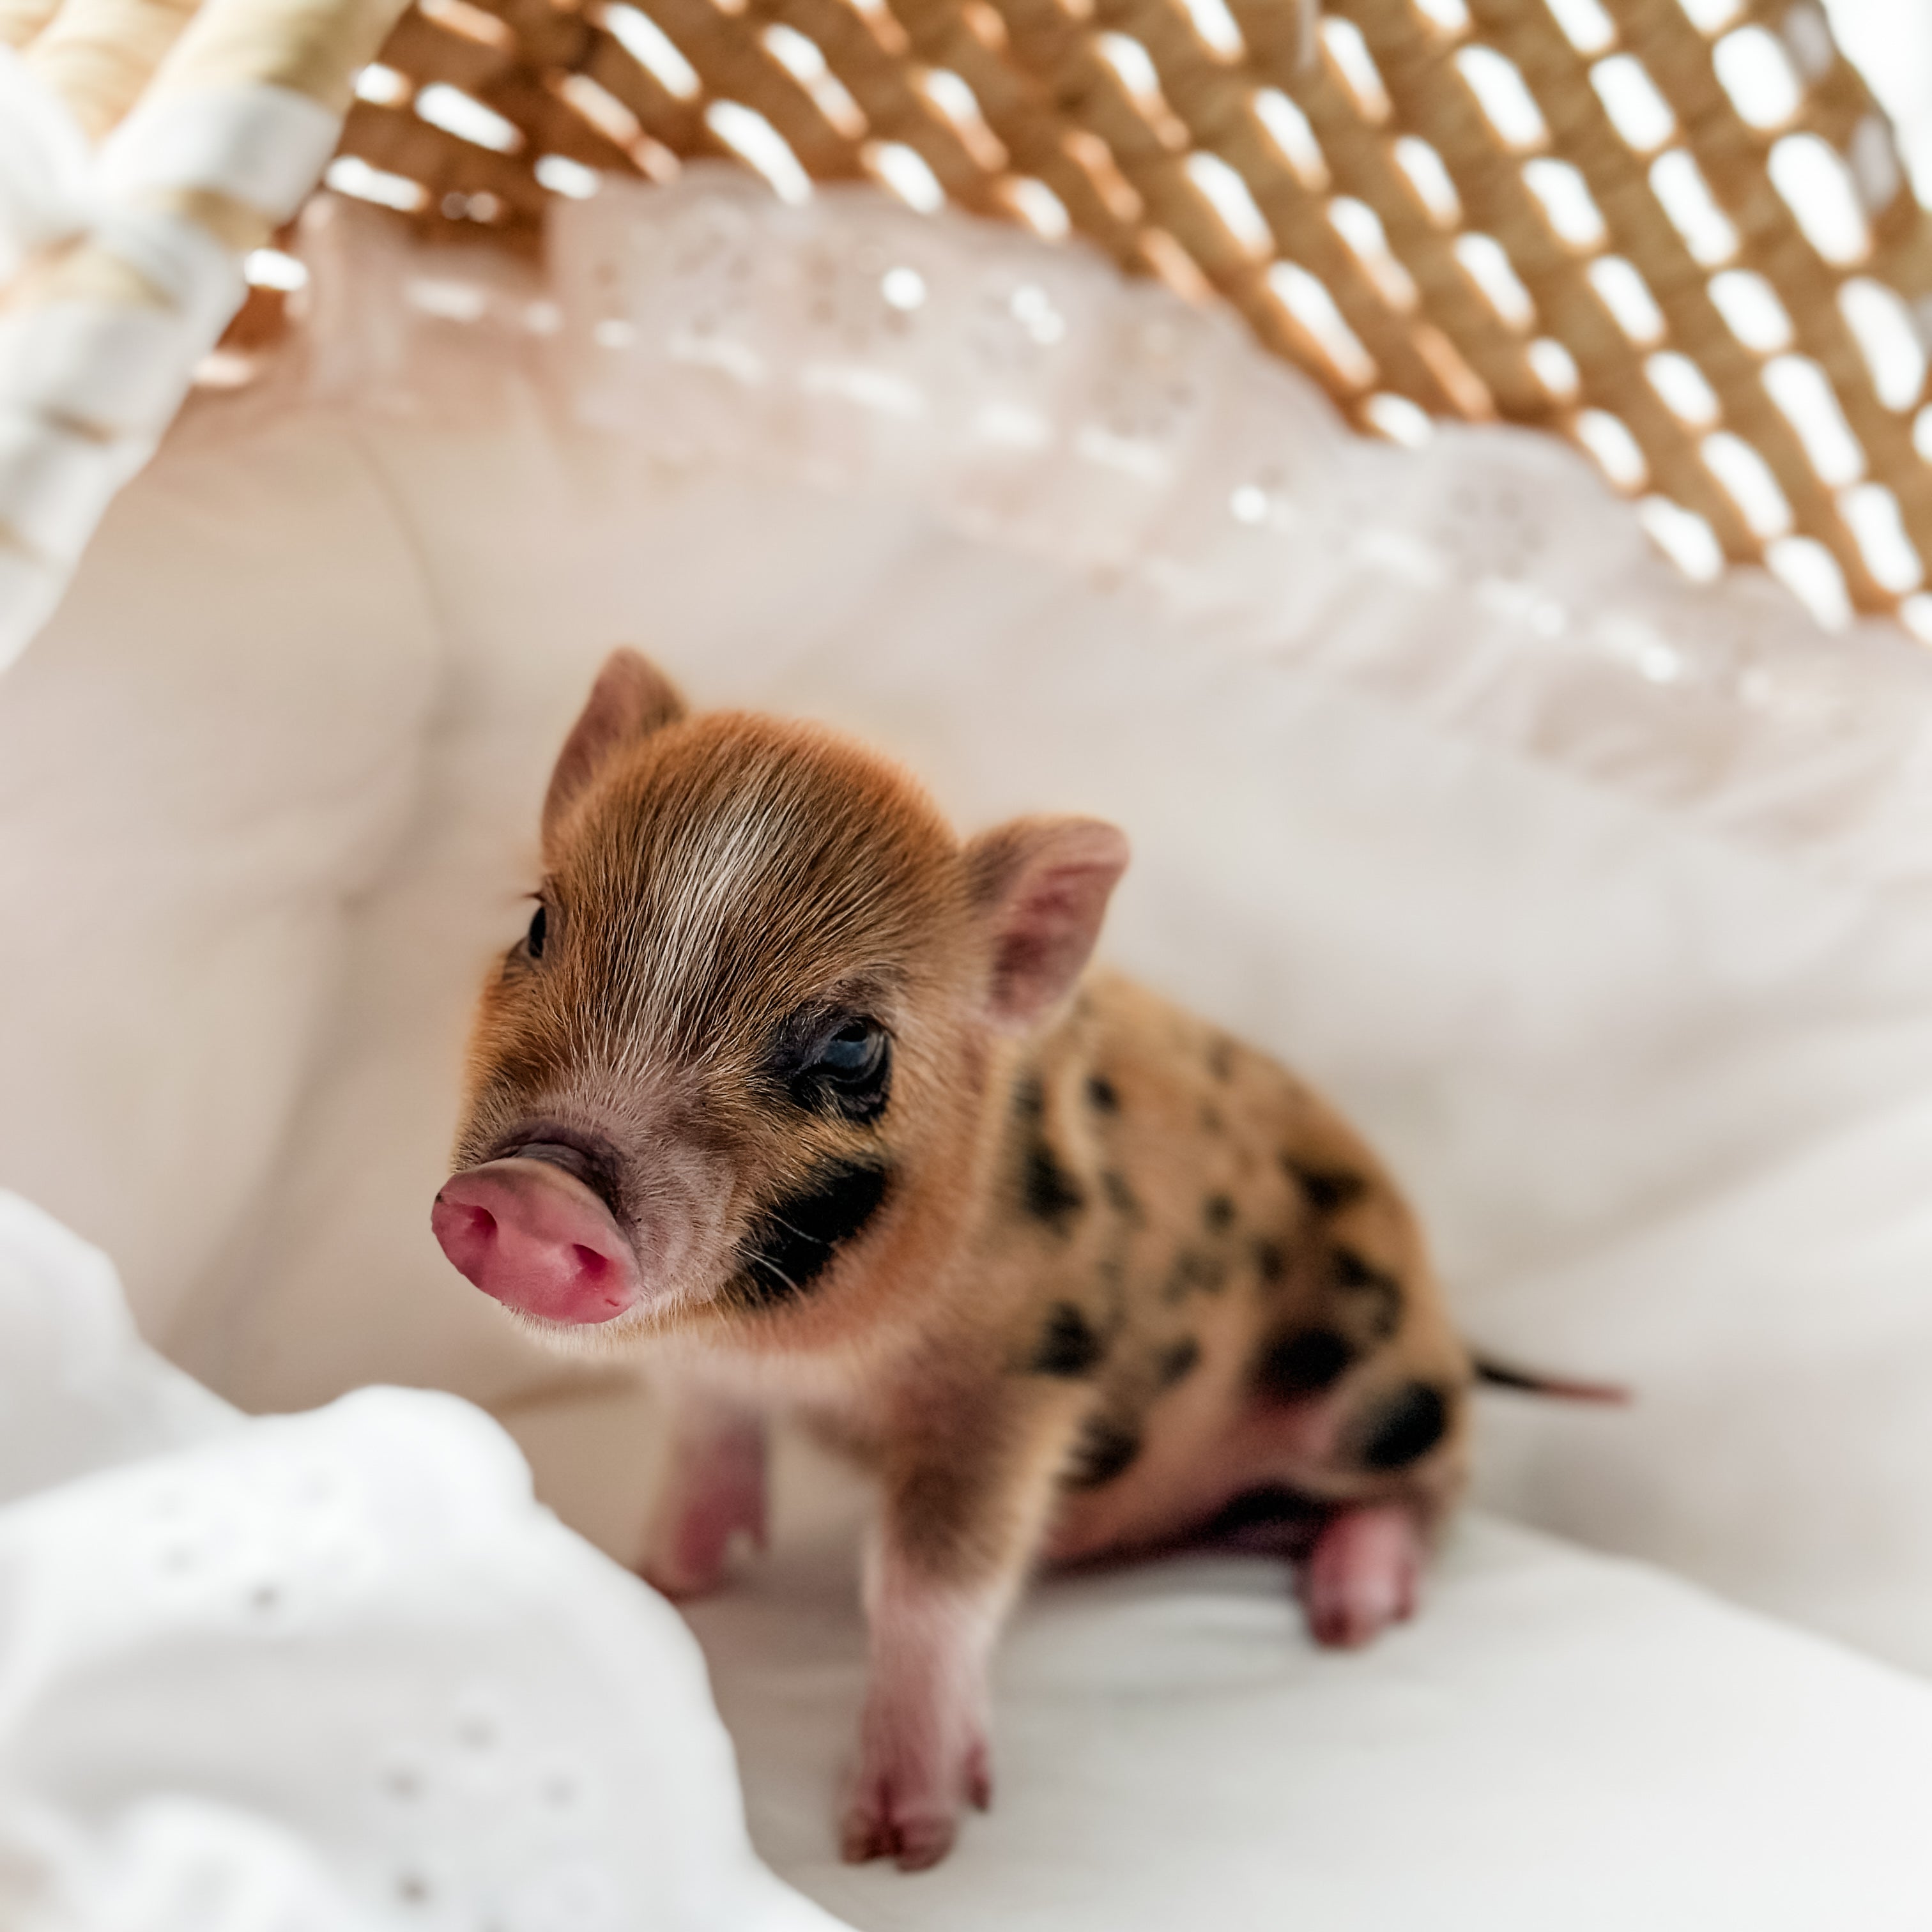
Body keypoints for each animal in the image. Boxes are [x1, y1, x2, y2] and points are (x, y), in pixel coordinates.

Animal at [432, 649, 1474, 1870]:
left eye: (852, 1048)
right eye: (540, 924)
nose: (535, 1189)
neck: (794, 1343)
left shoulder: (1019, 1374)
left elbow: (928, 1586)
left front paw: (902, 1842)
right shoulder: (704, 1365)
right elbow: (704, 1438)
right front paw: (665, 1583)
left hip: (1379, 1390)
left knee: (1435, 1485)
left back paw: (1351, 1613)